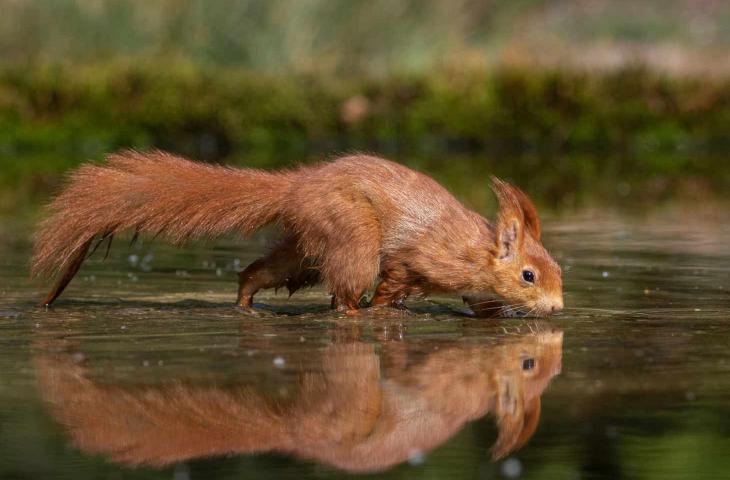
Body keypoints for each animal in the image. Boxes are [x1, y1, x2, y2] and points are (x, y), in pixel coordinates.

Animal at [31, 150, 560, 316]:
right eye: (529, 275)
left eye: (557, 270)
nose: (557, 308)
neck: (476, 250)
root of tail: (298, 186)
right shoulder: (422, 258)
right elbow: (394, 280)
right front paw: (387, 308)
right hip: (350, 235)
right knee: (345, 295)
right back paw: (357, 313)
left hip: (304, 249)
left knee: (257, 271)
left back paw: (246, 302)